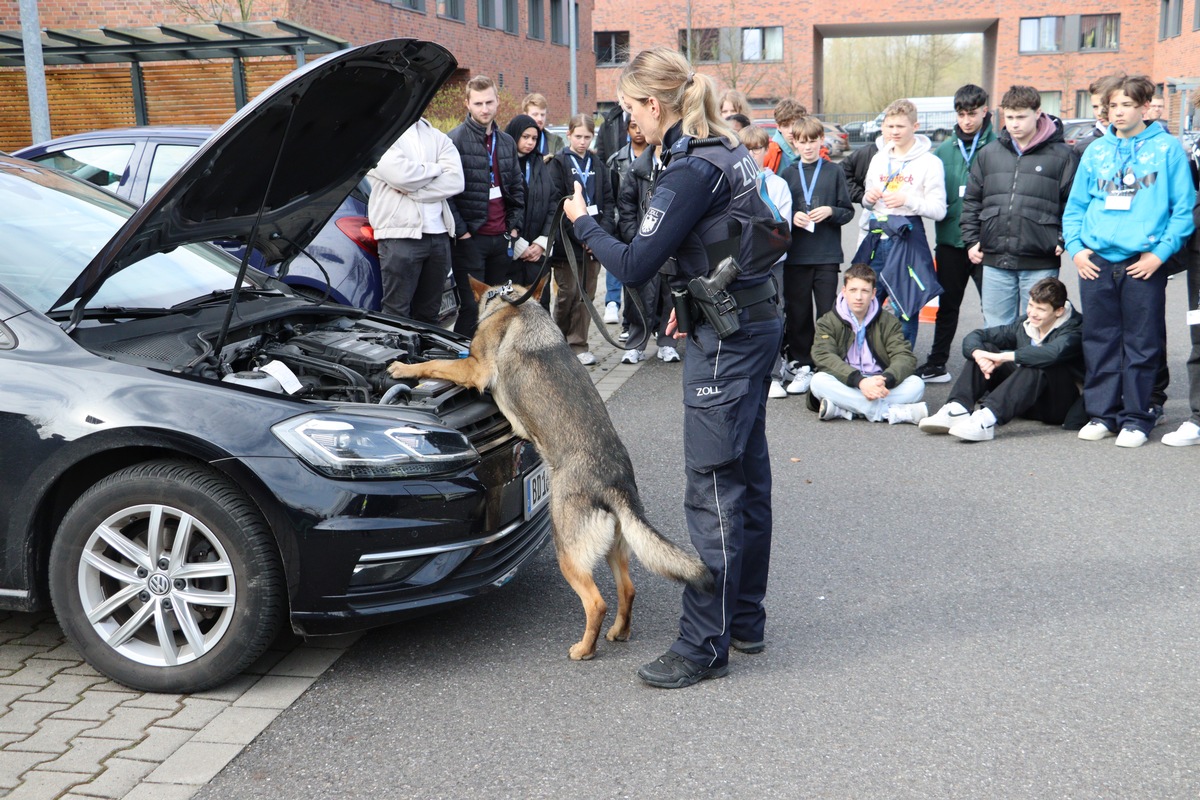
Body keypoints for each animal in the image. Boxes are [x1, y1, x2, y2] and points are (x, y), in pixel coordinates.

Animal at [386, 278, 710, 662]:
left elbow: (437, 362)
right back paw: (619, 632)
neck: (513, 303)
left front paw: (403, 368)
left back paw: (584, 649)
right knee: (628, 590)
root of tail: (615, 482)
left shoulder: (475, 368)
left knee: (597, 602)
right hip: (614, 548)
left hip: (567, 551)